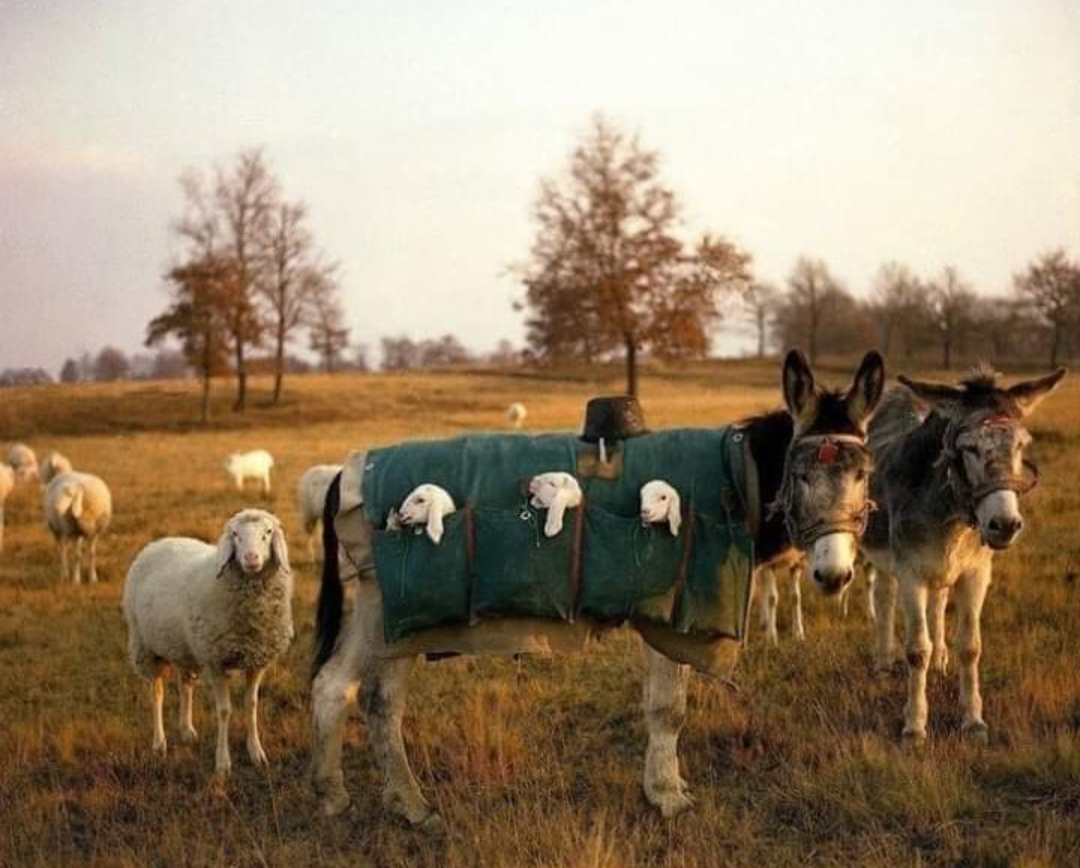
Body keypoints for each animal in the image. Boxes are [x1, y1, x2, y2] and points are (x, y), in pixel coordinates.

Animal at [122, 509, 293, 772]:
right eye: (235, 535)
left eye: (268, 532)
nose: (251, 558)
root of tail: (160, 541)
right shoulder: (215, 661)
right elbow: (224, 711)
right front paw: (222, 762)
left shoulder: (257, 660)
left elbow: (252, 705)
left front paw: (256, 752)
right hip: (145, 647)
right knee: (157, 694)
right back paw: (159, 743)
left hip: (182, 647)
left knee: (185, 685)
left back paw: (186, 731)